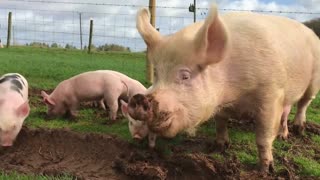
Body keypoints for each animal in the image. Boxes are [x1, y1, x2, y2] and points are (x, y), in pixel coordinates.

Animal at [127, 4, 320, 173]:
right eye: (157, 73)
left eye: (185, 76)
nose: (139, 98)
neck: (233, 93)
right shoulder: (219, 103)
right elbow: (220, 123)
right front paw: (219, 147)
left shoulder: (271, 94)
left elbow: (263, 136)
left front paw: (266, 170)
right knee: (286, 111)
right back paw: (283, 135)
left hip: (314, 80)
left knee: (303, 104)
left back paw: (298, 129)